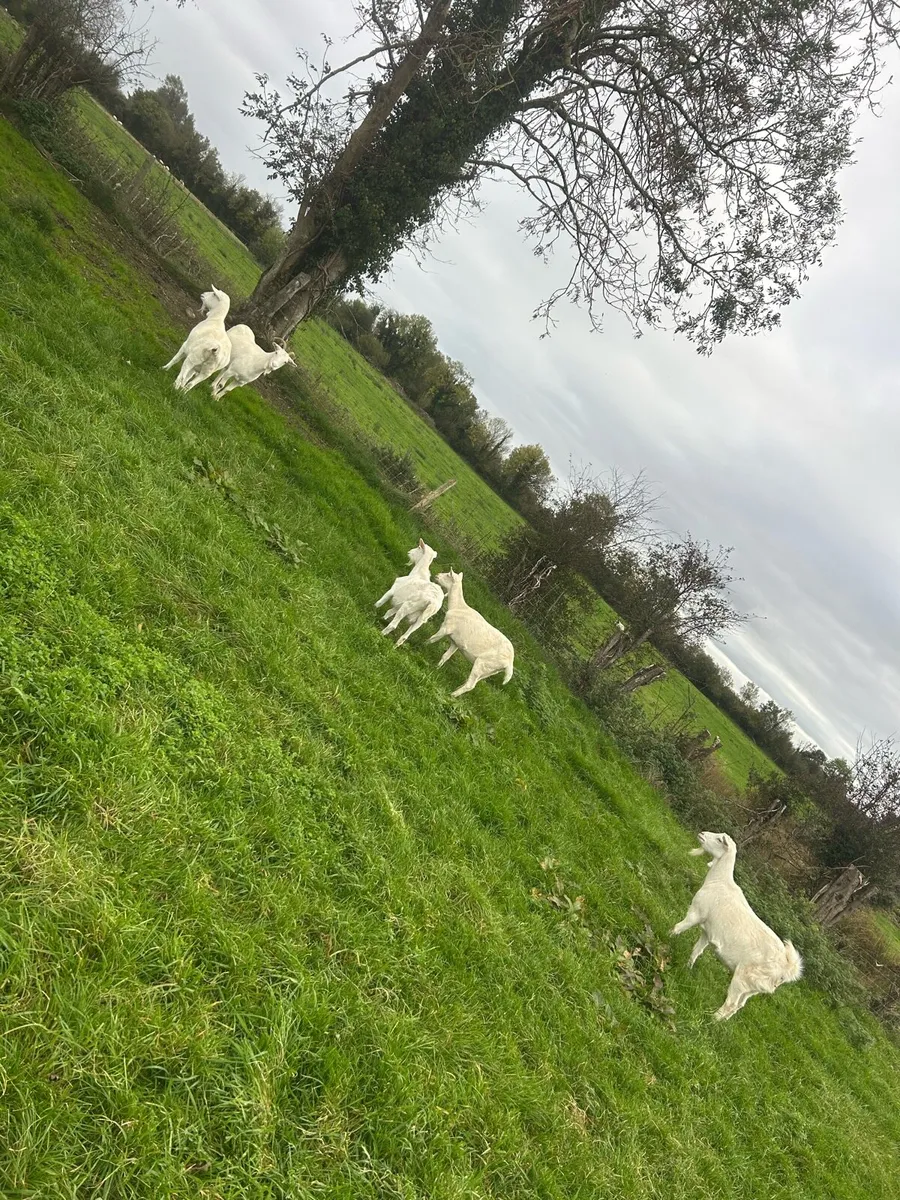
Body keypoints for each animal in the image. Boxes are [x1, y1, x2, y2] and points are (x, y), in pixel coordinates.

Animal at [671, 832, 803, 1021]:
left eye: (719, 839)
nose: (702, 834)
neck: (719, 881)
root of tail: (786, 968)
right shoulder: (707, 932)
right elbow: (697, 951)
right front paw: (687, 967)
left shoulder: (696, 913)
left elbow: (678, 928)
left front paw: (667, 937)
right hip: (752, 989)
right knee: (738, 1006)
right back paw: (720, 1021)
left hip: (743, 978)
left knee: (732, 1003)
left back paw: (711, 1018)